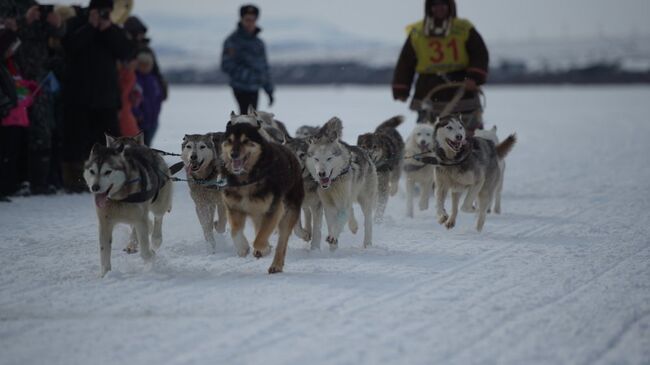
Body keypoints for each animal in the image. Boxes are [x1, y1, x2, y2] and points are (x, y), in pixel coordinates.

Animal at [85, 142, 173, 276]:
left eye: (108, 172)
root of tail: (150, 150)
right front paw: (105, 275)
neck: (119, 198)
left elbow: (145, 252)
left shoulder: (140, 219)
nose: (95, 187)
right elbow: (104, 251)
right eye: (92, 171)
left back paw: (156, 239)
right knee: (146, 224)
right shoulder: (104, 223)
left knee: (158, 218)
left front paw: (151, 257)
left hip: (158, 204)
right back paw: (133, 242)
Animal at [219, 118, 302, 272]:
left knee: (281, 242)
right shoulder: (234, 208)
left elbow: (259, 239)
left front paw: (263, 248)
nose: (234, 154)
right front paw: (242, 248)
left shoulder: (274, 209)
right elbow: (235, 230)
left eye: (246, 141)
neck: (247, 180)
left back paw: (276, 264)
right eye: (230, 140)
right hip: (257, 212)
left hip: (288, 211)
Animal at [306, 116, 378, 247]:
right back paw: (354, 227)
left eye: (329, 158)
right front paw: (333, 246)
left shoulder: (342, 205)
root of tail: (364, 152)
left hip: (365, 200)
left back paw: (367, 244)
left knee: (367, 220)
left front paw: (333, 237)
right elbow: (332, 223)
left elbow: (338, 222)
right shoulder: (328, 206)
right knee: (351, 210)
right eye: (316, 159)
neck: (333, 183)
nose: (321, 174)